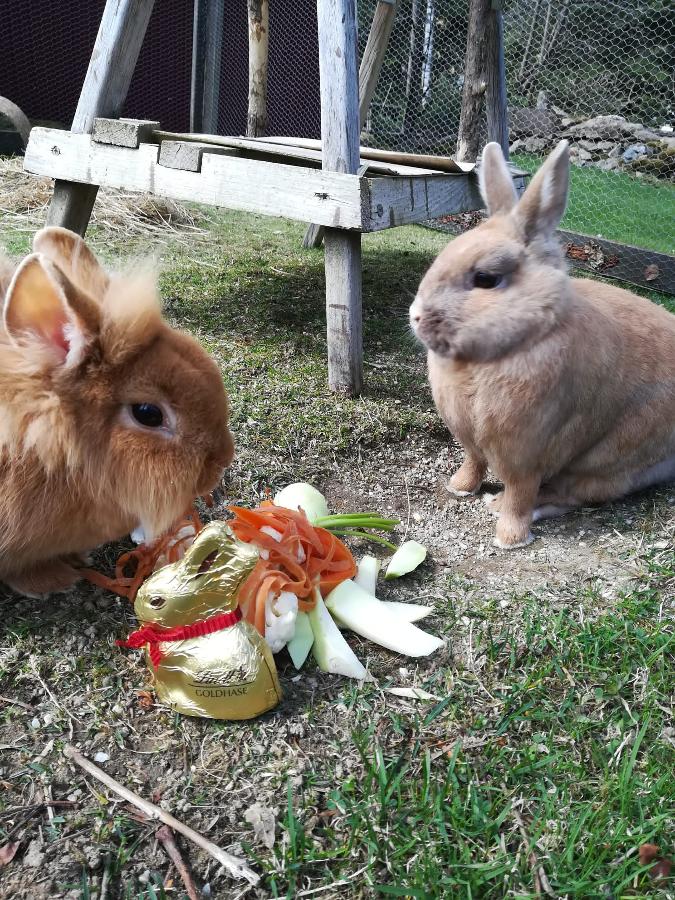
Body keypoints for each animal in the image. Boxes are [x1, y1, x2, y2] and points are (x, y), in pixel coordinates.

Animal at [410, 141, 675, 548]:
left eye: (486, 278)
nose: (416, 316)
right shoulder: (471, 441)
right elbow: (473, 463)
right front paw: (459, 488)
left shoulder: (526, 453)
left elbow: (521, 493)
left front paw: (509, 538)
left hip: (608, 460)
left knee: (573, 495)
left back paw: (501, 506)